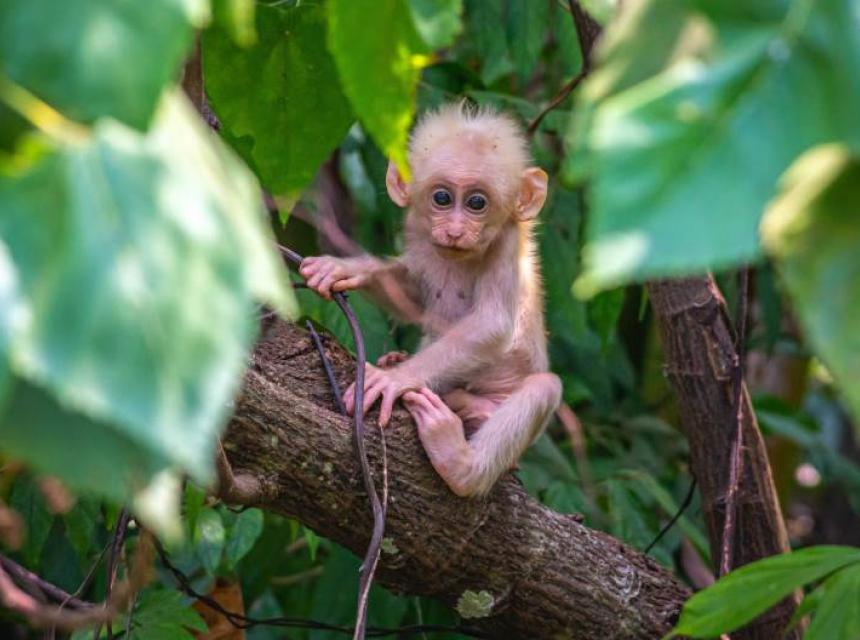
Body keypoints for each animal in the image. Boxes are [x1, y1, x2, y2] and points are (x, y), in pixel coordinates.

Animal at [299, 103, 562, 497]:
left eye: (477, 203)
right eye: (442, 198)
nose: (454, 231)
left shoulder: (507, 244)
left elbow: (493, 323)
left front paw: (395, 379)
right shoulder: (420, 232)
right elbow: (413, 295)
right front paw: (347, 268)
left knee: (545, 387)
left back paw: (460, 463)